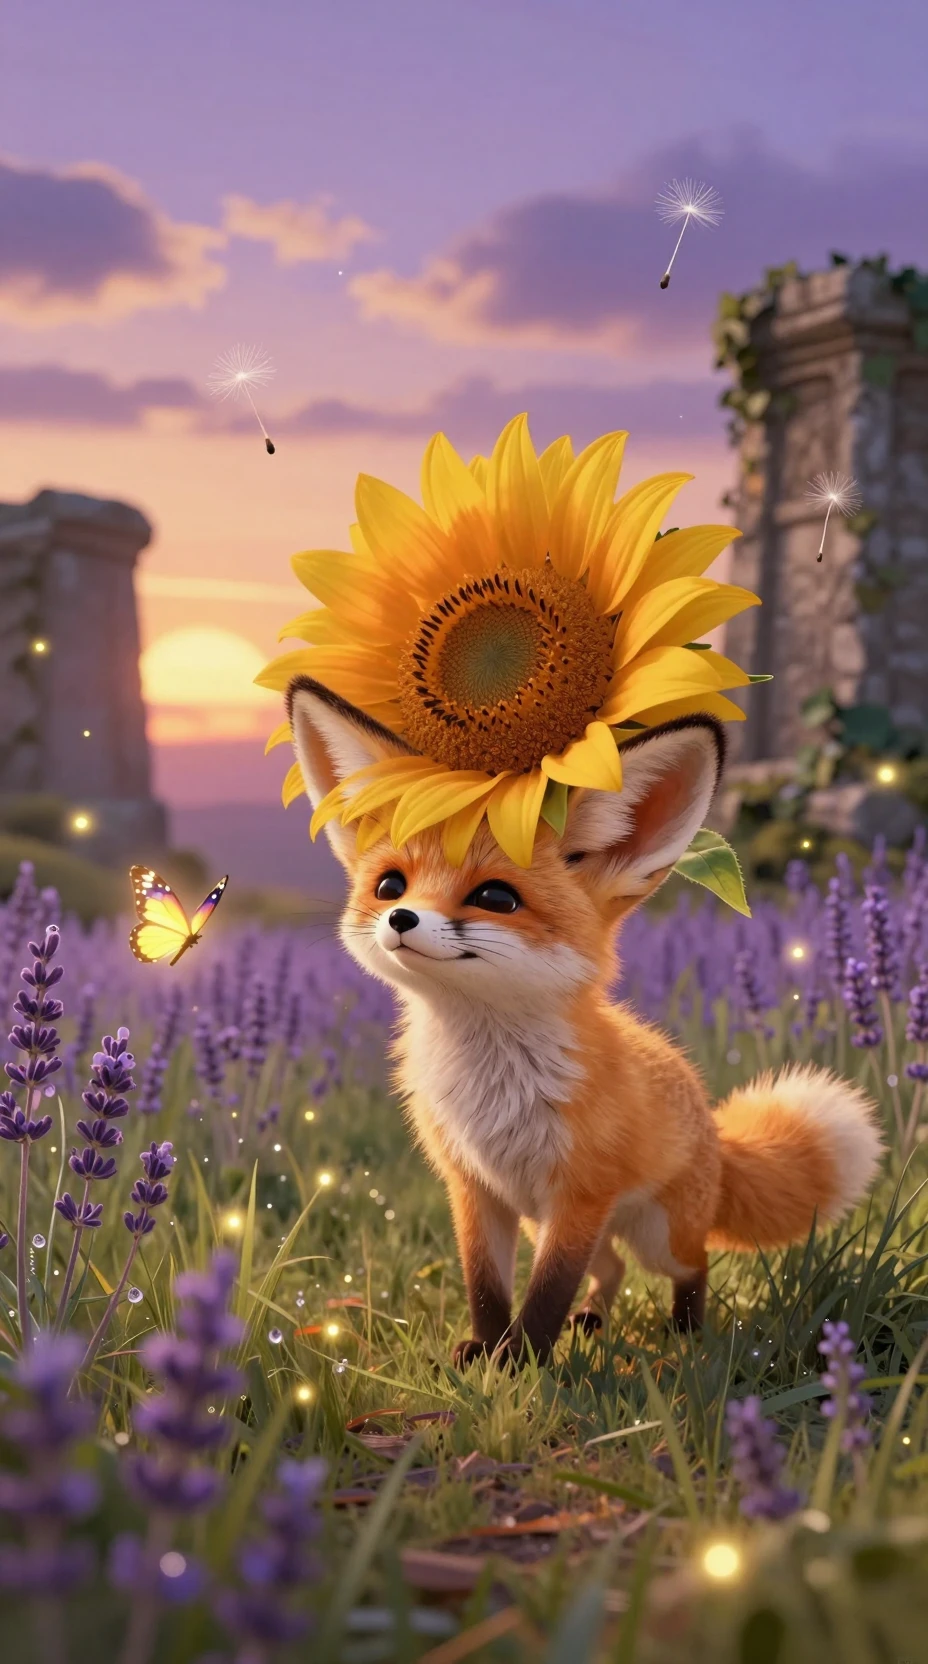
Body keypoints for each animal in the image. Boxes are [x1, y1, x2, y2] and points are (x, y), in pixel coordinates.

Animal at [288, 673, 884, 1368]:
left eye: (495, 897)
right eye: (389, 885)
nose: (400, 920)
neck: (492, 1087)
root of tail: (712, 1128)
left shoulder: (579, 1198)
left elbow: (546, 1294)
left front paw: (521, 1364)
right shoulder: (476, 1191)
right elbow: (486, 1287)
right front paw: (486, 1354)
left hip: (653, 1233)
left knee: (692, 1266)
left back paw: (687, 1334)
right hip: (559, 1226)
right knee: (613, 1272)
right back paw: (595, 1321)